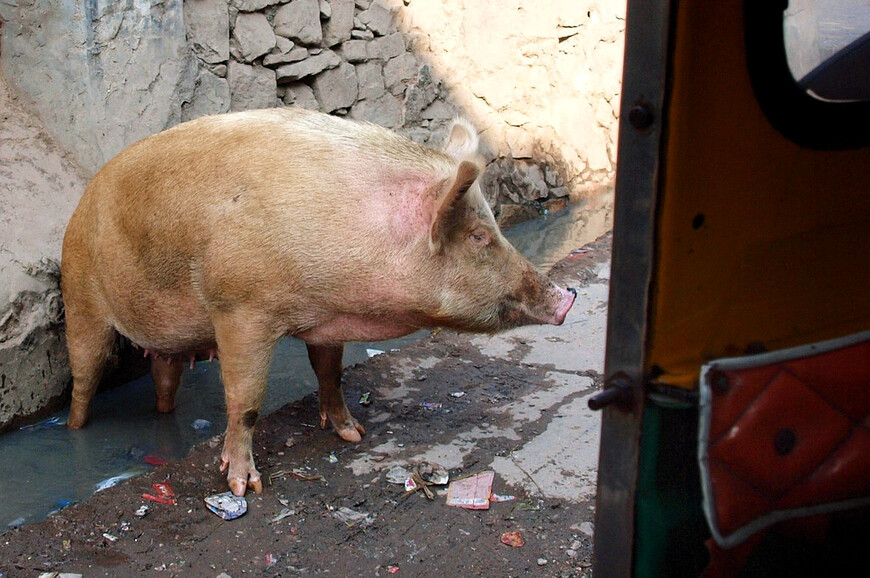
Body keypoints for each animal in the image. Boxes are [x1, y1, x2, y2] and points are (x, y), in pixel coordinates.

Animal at [63, 106, 580, 492]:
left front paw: (354, 434)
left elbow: (330, 374)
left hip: (163, 343)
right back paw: (74, 430)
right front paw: (244, 486)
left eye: (493, 225)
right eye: (477, 237)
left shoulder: (329, 318)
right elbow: (245, 401)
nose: (568, 296)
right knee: (84, 377)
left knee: (164, 378)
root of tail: (78, 207)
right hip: (80, 298)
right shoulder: (240, 309)